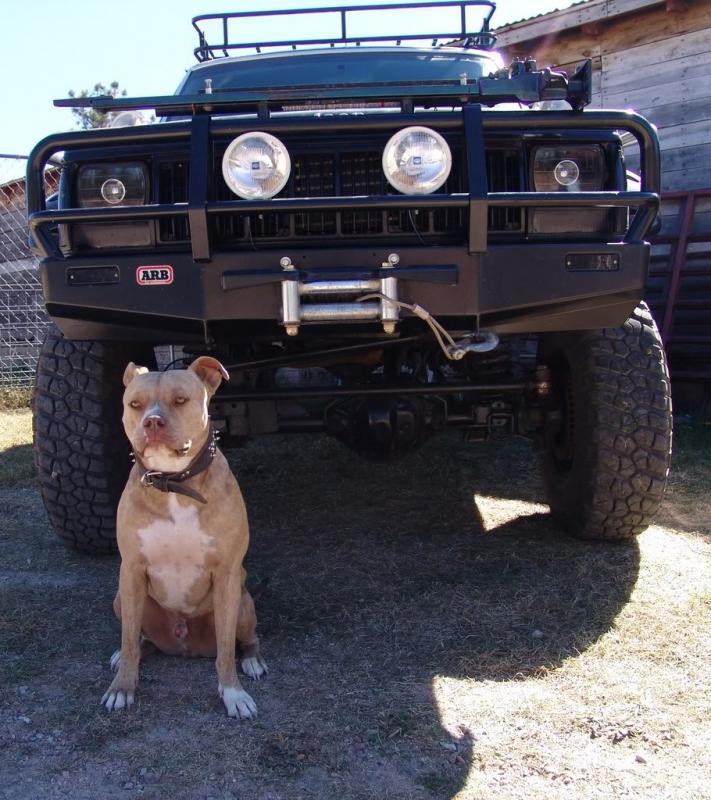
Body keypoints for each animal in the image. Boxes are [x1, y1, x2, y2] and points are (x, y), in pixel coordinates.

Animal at [101, 356, 266, 720]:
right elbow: (128, 640)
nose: (152, 422)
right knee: (137, 639)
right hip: (122, 598)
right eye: (135, 404)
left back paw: (252, 660)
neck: (174, 483)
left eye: (180, 400)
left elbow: (225, 651)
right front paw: (122, 687)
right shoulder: (131, 571)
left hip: (243, 603)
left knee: (246, 639)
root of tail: (183, 644)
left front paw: (233, 693)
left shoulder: (227, 575)